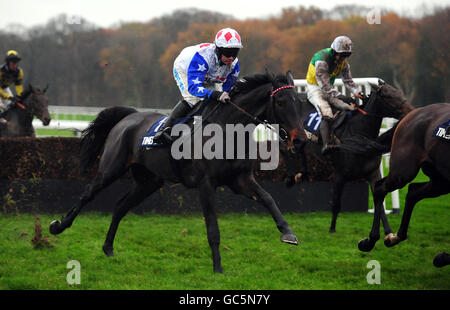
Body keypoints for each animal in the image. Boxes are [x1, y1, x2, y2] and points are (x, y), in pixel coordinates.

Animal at [51, 71, 308, 272]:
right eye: (281, 102)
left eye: (299, 103)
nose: (300, 140)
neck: (227, 131)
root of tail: (131, 116)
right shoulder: (206, 184)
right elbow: (213, 229)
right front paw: (218, 269)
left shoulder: (241, 180)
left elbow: (268, 198)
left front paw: (288, 233)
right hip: (111, 168)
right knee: (88, 193)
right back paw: (59, 226)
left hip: (149, 182)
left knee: (121, 206)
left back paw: (108, 248)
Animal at [286, 80, 414, 232]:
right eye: (388, 96)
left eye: (398, 92)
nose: (410, 110)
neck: (357, 134)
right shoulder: (340, 175)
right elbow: (336, 204)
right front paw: (332, 229)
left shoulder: (373, 173)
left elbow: (380, 205)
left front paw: (388, 232)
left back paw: (300, 175)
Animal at [358, 103, 450, 266]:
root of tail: (416, 111)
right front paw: (443, 257)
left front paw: (443, 257)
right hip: (403, 170)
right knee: (380, 188)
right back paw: (370, 241)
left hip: (441, 181)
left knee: (413, 191)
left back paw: (395, 237)